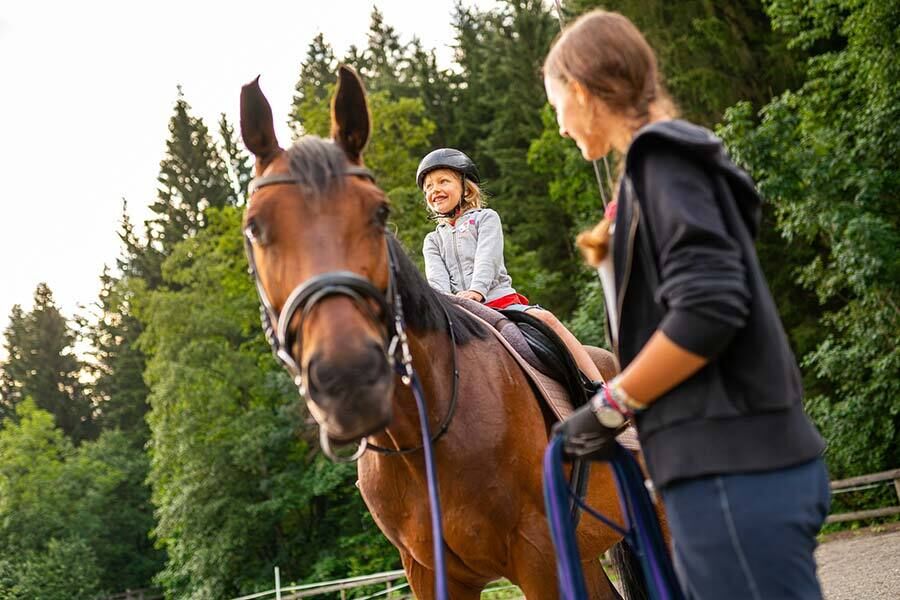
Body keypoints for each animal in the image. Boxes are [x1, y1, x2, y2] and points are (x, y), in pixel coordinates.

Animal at [241, 63, 640, 596]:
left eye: (380, 212)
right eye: (255, 227)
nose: (350, 379)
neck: (422, 437)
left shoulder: (539, 555)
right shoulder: (427, 572)